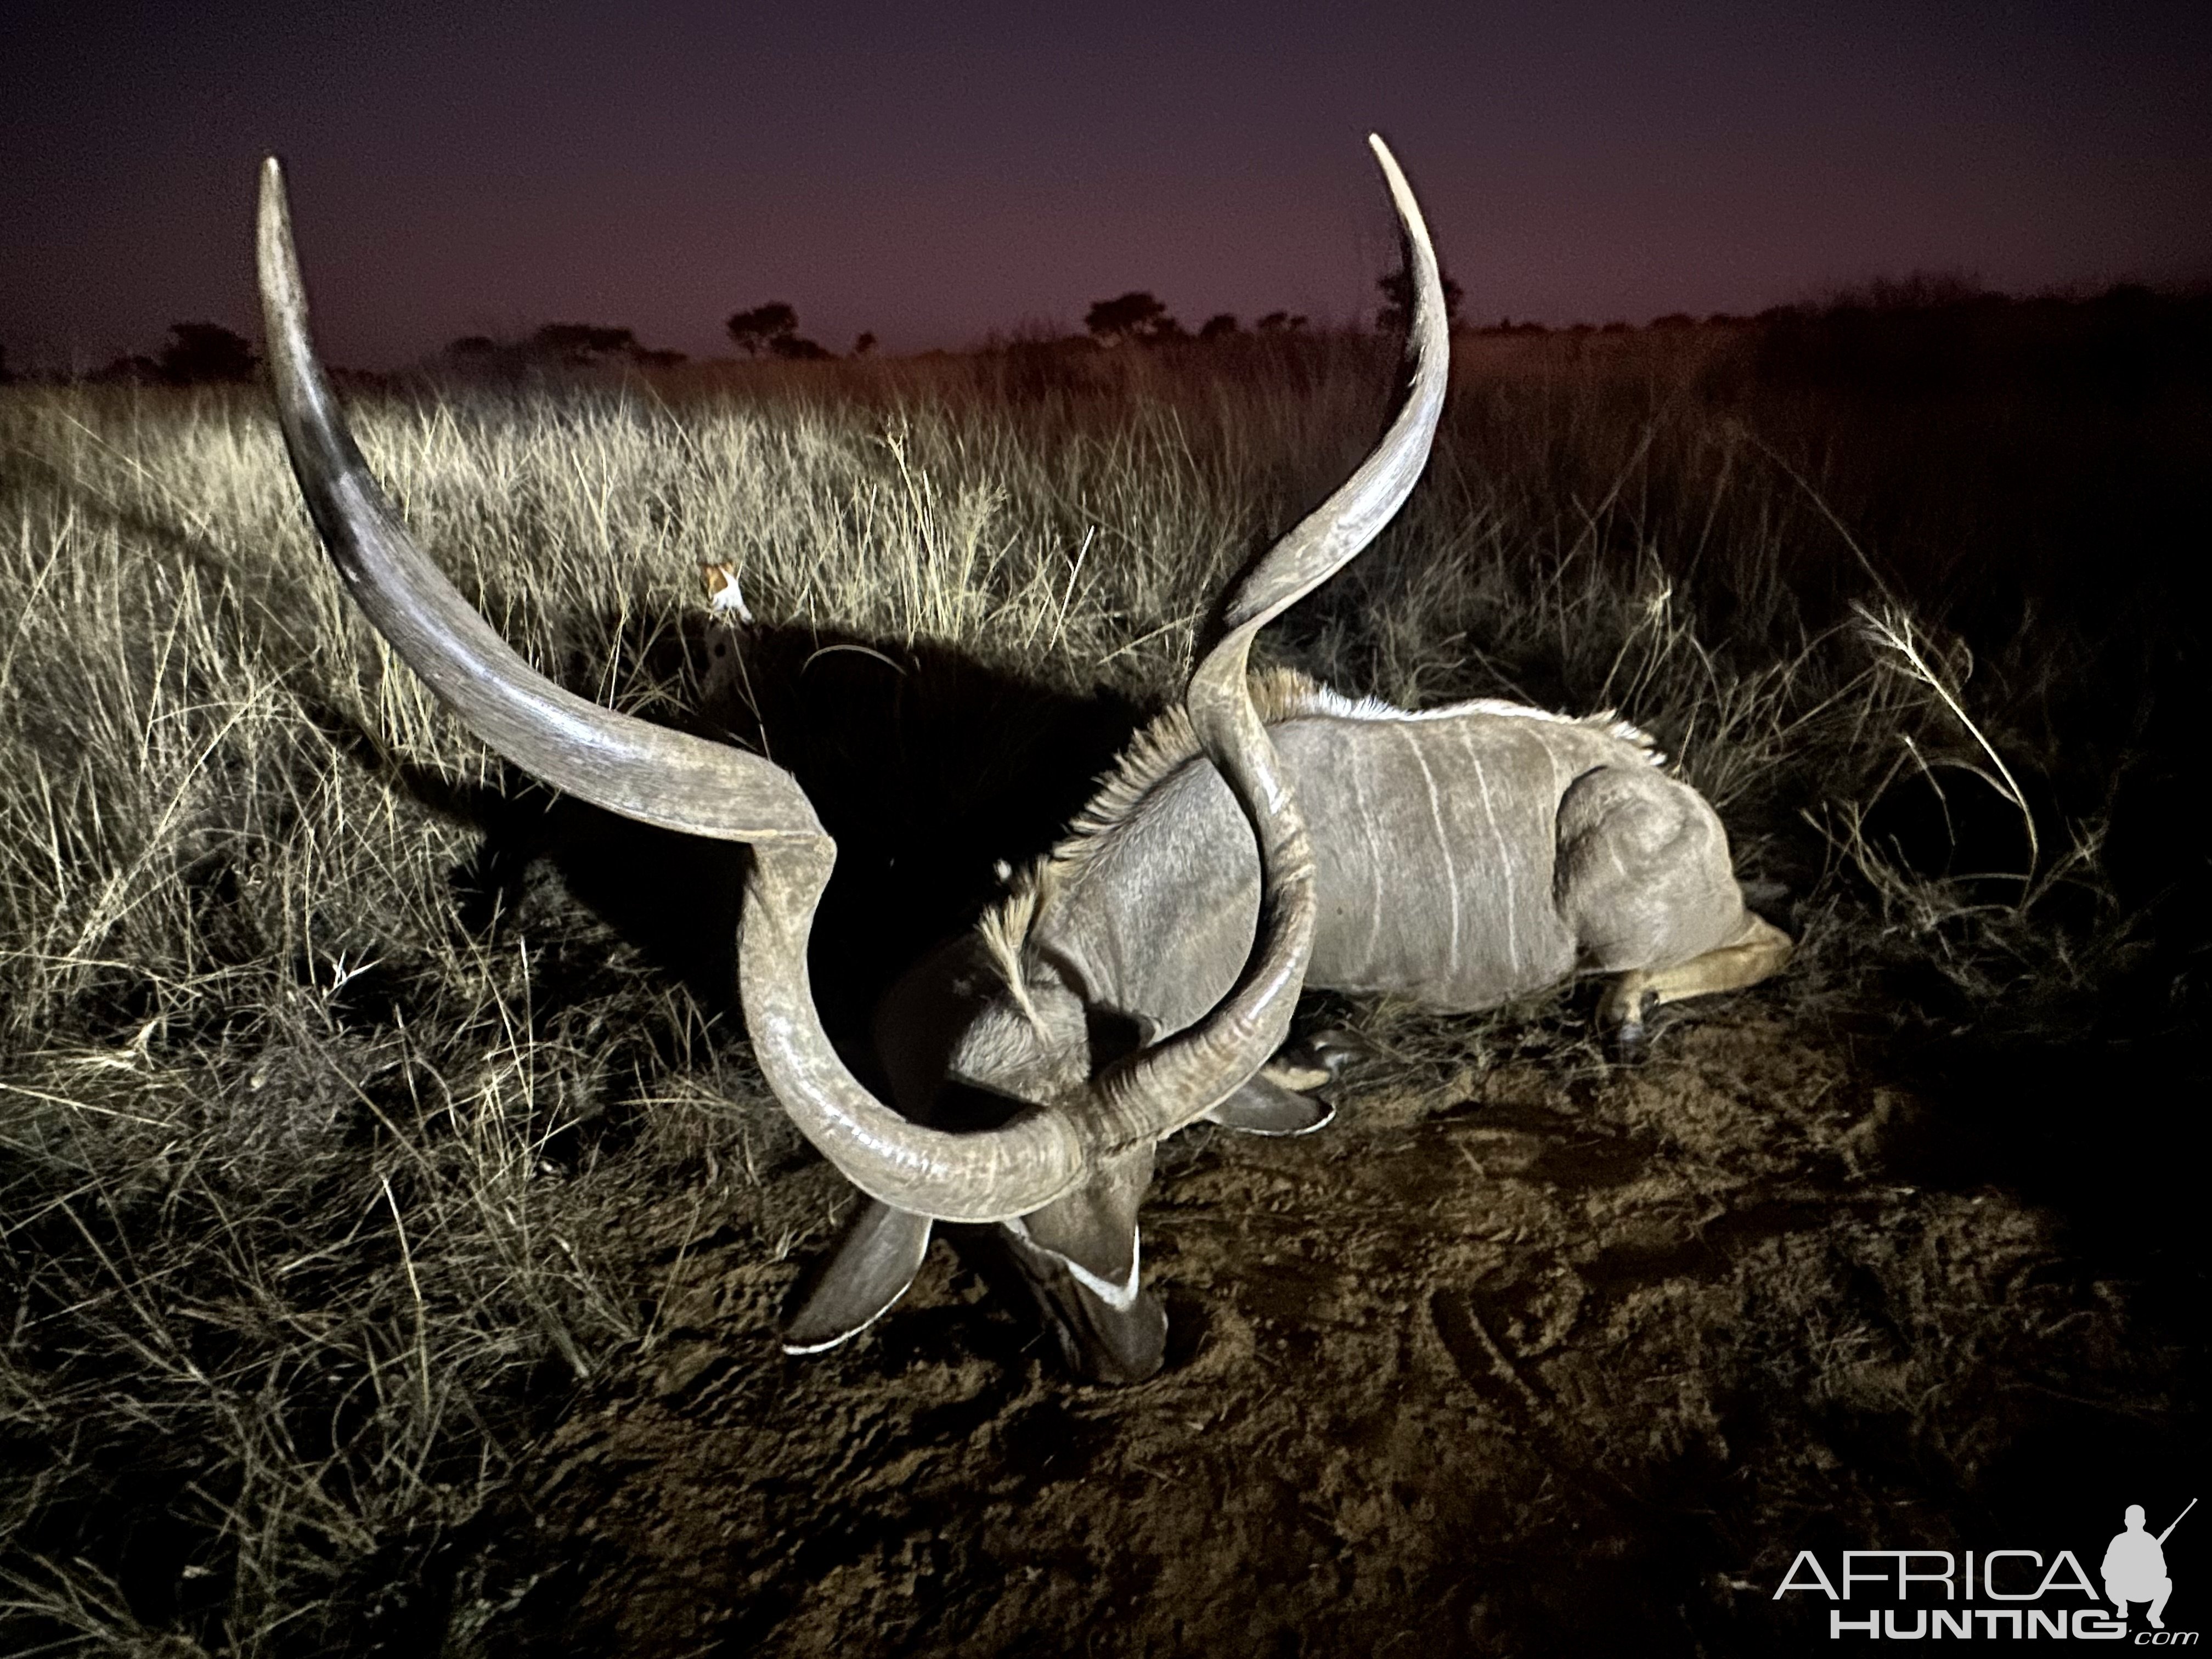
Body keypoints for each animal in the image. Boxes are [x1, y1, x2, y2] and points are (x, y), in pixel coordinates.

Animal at [258, 143, 1787, 1389]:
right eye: (1018, 1244)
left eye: (1142, 1197)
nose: (1136, 1355)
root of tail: (1681, 805)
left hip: (1623, 885)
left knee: (1752, 944)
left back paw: (1630, 1012)